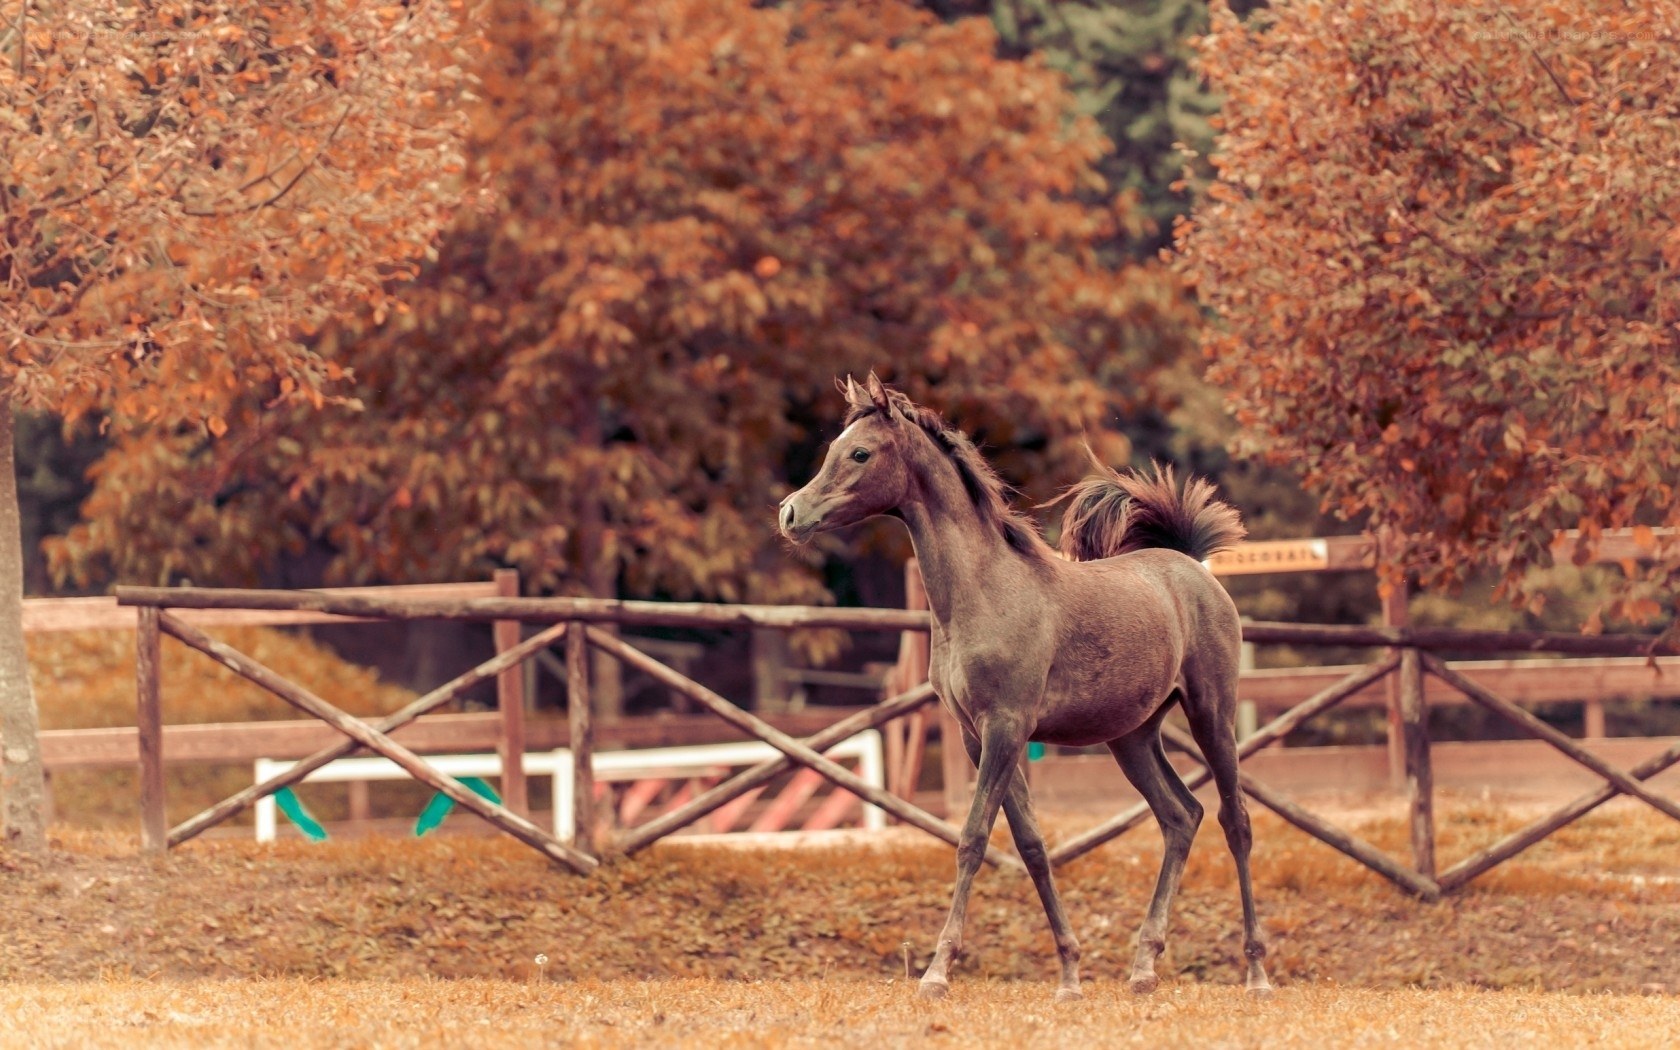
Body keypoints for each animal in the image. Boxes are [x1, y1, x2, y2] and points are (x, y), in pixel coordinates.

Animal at [778, 374, 1271, 1002]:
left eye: (860, 453)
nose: (791, 513)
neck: (984, 594)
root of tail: (1191, 566)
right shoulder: (978, 735)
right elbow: (1031, 844)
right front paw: (1069, 976)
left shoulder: (1006, 727)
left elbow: (972, 838)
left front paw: (938, 973)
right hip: (1132, 737)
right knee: (1181, 816)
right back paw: (1143, 968)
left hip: (1213, 713)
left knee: (1236, 822)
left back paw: (1256, 974)